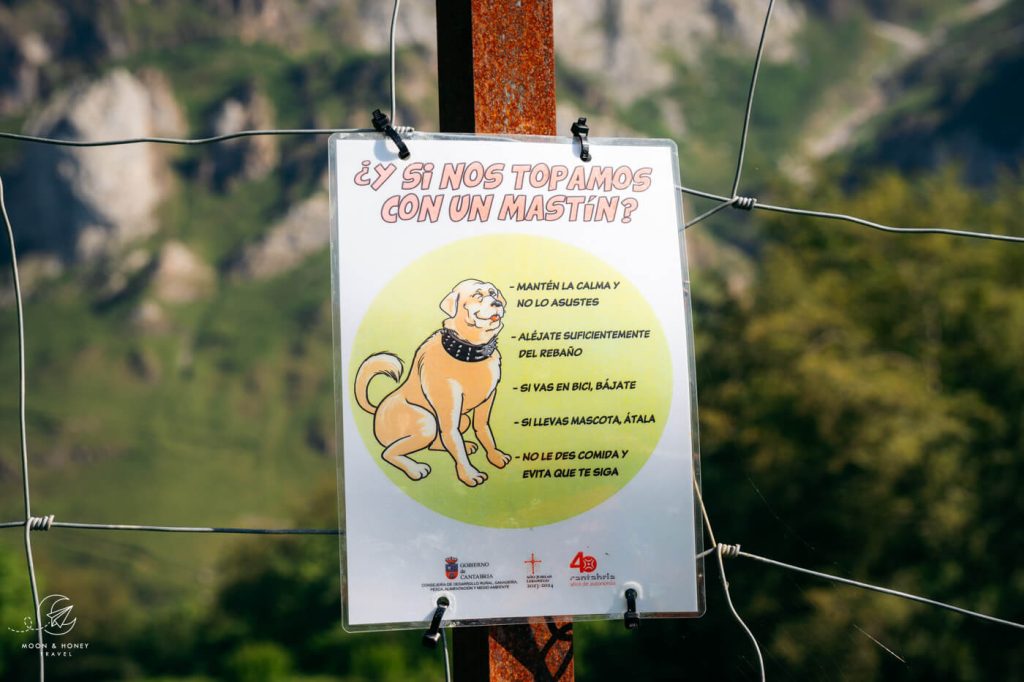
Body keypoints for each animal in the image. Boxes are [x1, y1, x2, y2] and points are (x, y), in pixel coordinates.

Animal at [354, 278, 512, 485]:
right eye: (477, 295)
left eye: (493, 293)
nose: (498, 303)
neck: (468, 351)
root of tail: (377, 409)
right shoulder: (447, 407)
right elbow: (455, 442)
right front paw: (469, 474)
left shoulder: (487, 401)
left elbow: (483, 430)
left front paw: (495, 456)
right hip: (427, 422)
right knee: (388, 452)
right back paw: (415, 469)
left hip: (462, 418)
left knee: (437, 443)